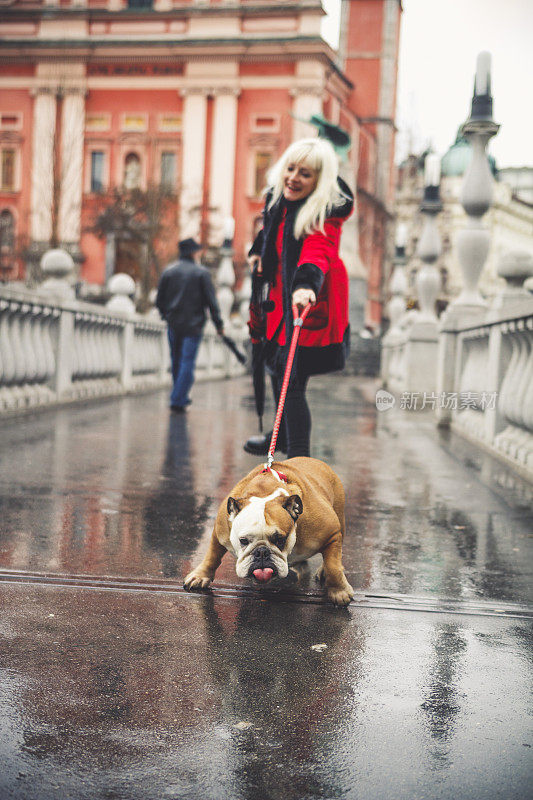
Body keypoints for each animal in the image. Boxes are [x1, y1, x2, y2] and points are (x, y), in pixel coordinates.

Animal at [183, 456, 354, 608]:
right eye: (243, 541)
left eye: (280, 540)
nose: (262, 552)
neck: (264, 493)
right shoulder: (219, 533)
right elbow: (212, 555)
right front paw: (200, 576)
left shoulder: (332, 533)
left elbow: (333, 566)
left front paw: (339, 591)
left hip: (340, 519)